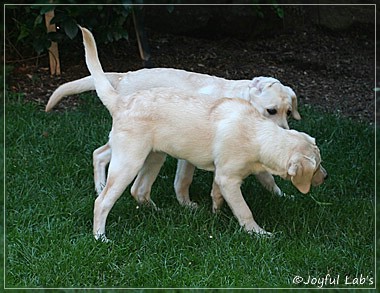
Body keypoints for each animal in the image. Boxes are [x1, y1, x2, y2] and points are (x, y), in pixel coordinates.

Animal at [45, 49, 300, 208]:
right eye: (271, 111)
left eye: (288, 112)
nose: (284, 134)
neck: (241, 98)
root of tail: (124, 77)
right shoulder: (191, 154)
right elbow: (183, 181)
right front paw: (187, 205)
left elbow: (266, 177)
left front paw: (282, 196)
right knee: (99, 154)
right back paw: (100, 187)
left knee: (99, 153)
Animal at [79, 26, 326, 240]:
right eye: (271, 110)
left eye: (289, 112)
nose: (325, 177)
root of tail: (122, 91)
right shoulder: (221, 173)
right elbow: (239, 206)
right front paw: (259, 233)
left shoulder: (222, 171)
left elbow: (252, 183)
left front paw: (278, 196)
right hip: (129, 161)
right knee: (103, 196)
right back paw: (101, 234)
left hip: (154, 155)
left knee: (135, 187)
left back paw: (159, 212)